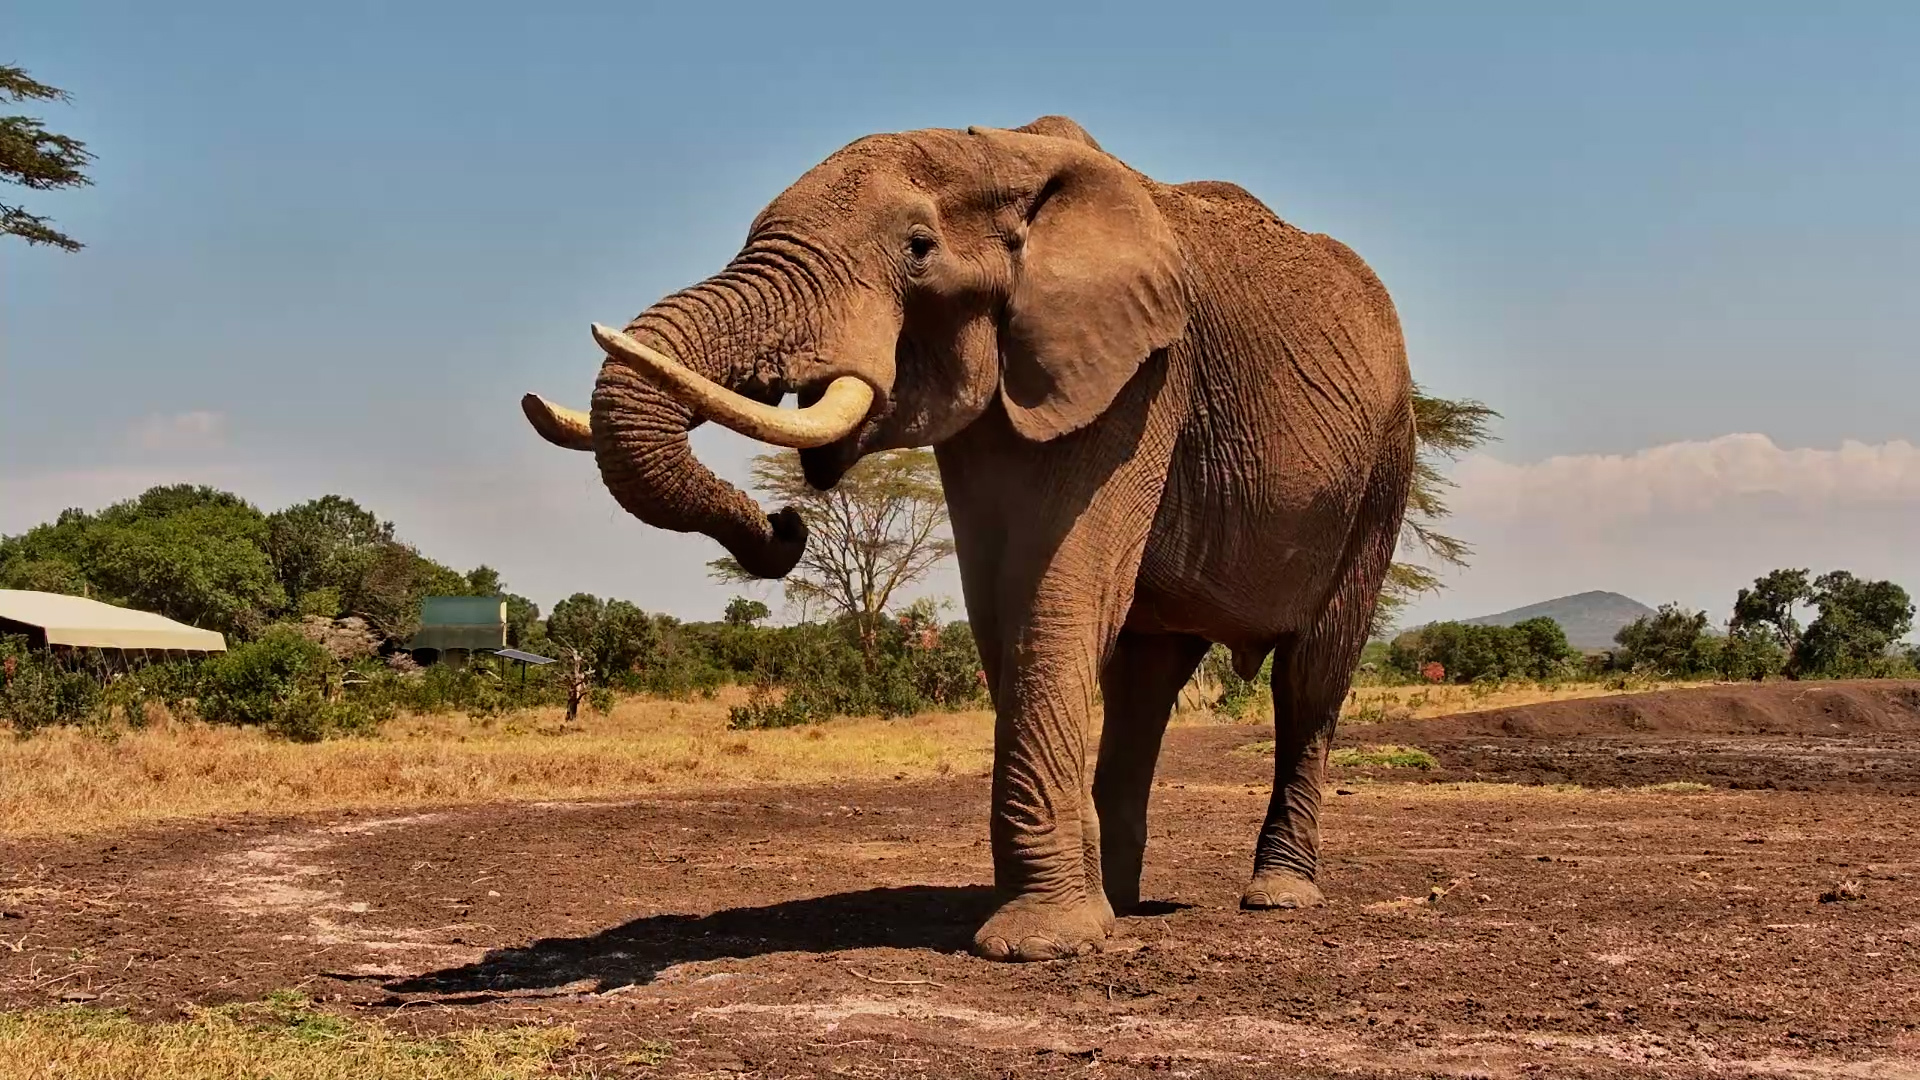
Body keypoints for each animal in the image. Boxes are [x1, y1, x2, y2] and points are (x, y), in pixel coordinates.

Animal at [522, 115, 1415, 962]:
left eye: (918, 250)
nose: (784, 524)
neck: (997, 153)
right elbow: (1003, 604)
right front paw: (1068, 923)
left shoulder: (1146, 371)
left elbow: (1058, 587)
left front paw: (1040, 944)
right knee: (1145, 681)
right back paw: (1123, 903)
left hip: (1383, 466)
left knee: (1311, 677)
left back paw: (1277, 896)